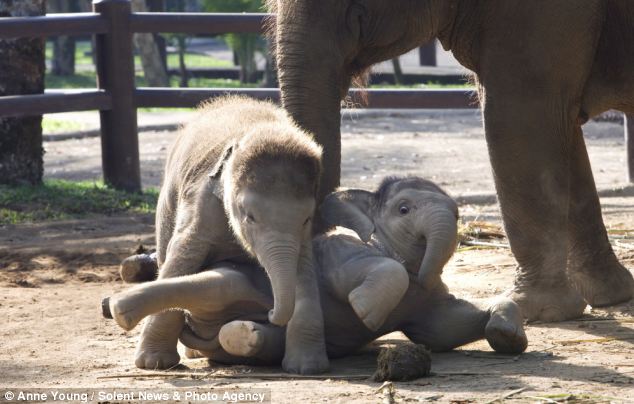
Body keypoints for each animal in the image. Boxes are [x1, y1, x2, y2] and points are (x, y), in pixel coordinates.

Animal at [105, 177, 528, 366]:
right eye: (404, 209)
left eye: (457, 214)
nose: (427, 275)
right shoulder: (344, 254)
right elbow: (385, 274)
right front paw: (365, 313)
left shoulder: (423, 305)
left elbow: (444, 330)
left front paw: (507, 335)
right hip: (238, 278)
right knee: (217, 285)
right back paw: (119, 307)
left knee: (242, 333)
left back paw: (243, 336)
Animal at [115, 96, 328, 374]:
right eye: (250, 216)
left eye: (306, 219)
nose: (269, 313)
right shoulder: (203, 203)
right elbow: (181, 258)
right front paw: (153, 364)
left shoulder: (301, 235)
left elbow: (304, 268)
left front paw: (307, 368)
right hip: (166, 207)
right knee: (165, 252)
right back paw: (189, 354)